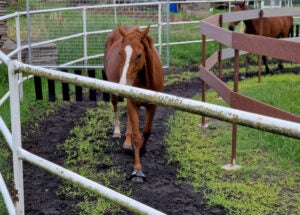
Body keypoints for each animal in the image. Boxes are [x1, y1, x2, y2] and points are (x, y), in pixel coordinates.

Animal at [103, 24, 164, 181]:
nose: (123, 84)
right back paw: (118, 132)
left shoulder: (153, 106)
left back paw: (127, 142)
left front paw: (142, 148)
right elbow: (137, 136)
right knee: (115, 105)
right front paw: (137, 170)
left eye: (139, 55)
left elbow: (147, 132)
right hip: (114, 93)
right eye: (120, 53)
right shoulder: (132, 102)